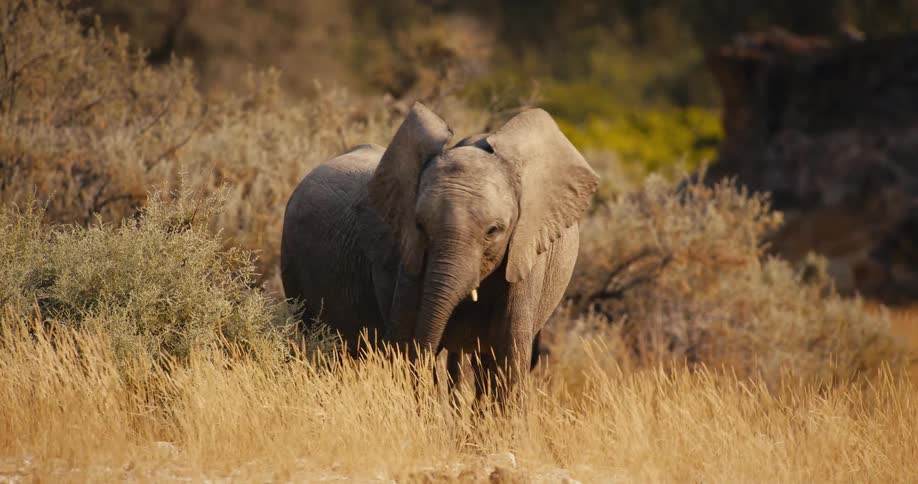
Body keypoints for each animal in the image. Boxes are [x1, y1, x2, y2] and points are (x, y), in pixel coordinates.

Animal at [280, 102, 598, 396]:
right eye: (420, 225)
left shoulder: (526, 251)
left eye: (493, 231)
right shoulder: (405, 256)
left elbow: (507, 360)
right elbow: (406, 348)